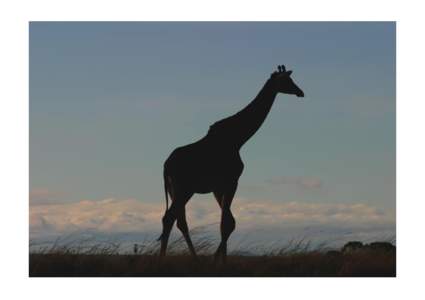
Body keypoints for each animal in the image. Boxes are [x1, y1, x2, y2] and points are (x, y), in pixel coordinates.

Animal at [157, 65, 304, 262]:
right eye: (286, 80)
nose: (300, 92)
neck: (238, 138)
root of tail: (165, 166)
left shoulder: (219, 187)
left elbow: (226, 222)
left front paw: (221, 260)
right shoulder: (232, 181)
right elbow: (228, 223)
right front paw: (216, 260)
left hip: (177, 191)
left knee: (177, 220)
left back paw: (192, 258)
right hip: (183, 189)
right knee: (170, 218)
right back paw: (165, 259)